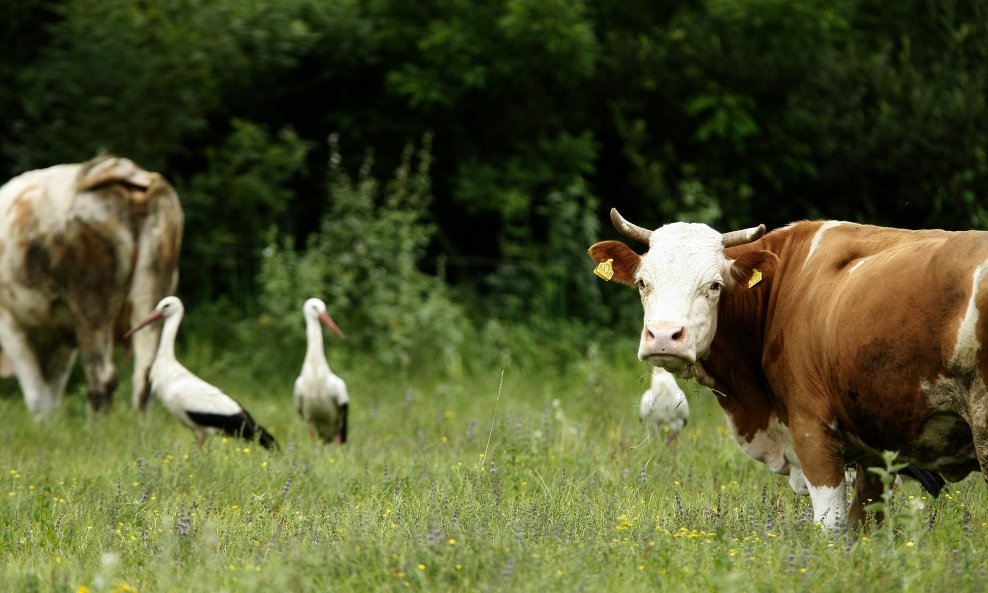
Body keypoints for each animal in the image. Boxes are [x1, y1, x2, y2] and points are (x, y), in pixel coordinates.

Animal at [0, 156, 184, 416]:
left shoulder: (9, 322)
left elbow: (37, 396)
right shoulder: (61, 335)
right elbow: (52, 393)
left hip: (92, 306)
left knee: (102, 378)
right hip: (154, 291)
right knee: (145, 375)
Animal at [588, 208, 980, 528]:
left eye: (714, 285)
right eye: (643, 283)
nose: (664, 336)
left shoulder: (813, 433)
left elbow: (833, 526)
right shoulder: (874, 455)